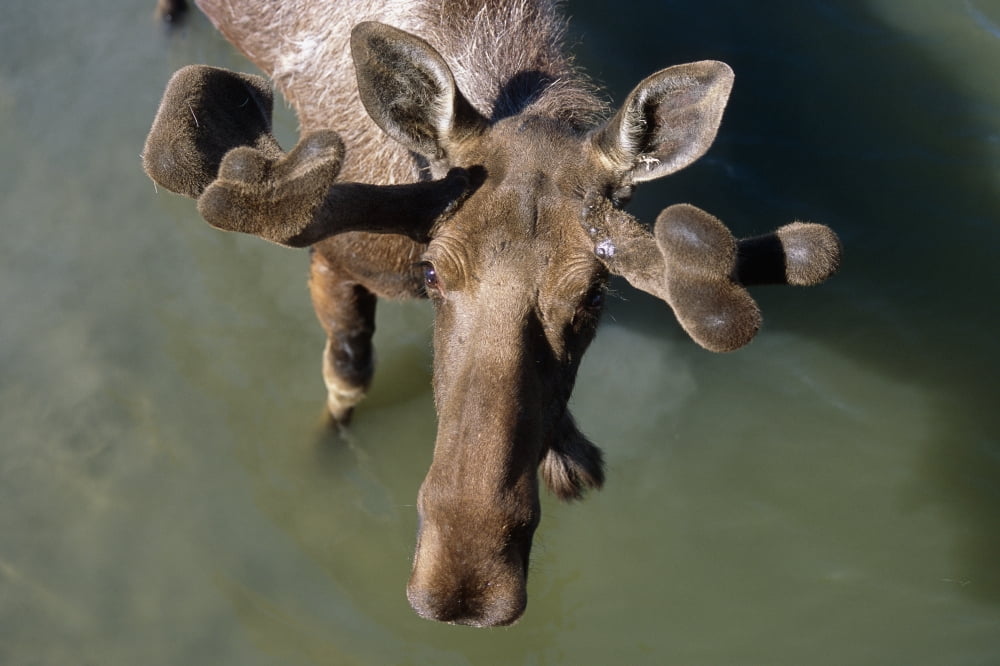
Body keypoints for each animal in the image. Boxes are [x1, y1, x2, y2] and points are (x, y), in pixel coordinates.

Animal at [142, 0, 841, 627]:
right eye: (432, 272)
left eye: (594, 295)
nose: (464, 589)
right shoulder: (336, 259)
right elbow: (347, 375)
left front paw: (568, 453)